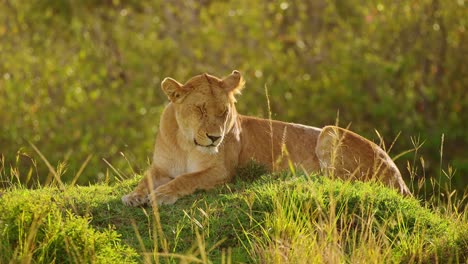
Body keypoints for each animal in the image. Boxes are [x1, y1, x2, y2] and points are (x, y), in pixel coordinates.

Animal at [122, 71, 412, 207]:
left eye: (224, 112)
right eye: (201, 109)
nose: (215, 138)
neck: (185, 143)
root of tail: (401, 180)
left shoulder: (222, 171)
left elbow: (186, 179)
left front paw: (162, 195)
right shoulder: (160, 167)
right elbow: (145, 179)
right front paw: (134, 196)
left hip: (330, 131)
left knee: (339, 181)